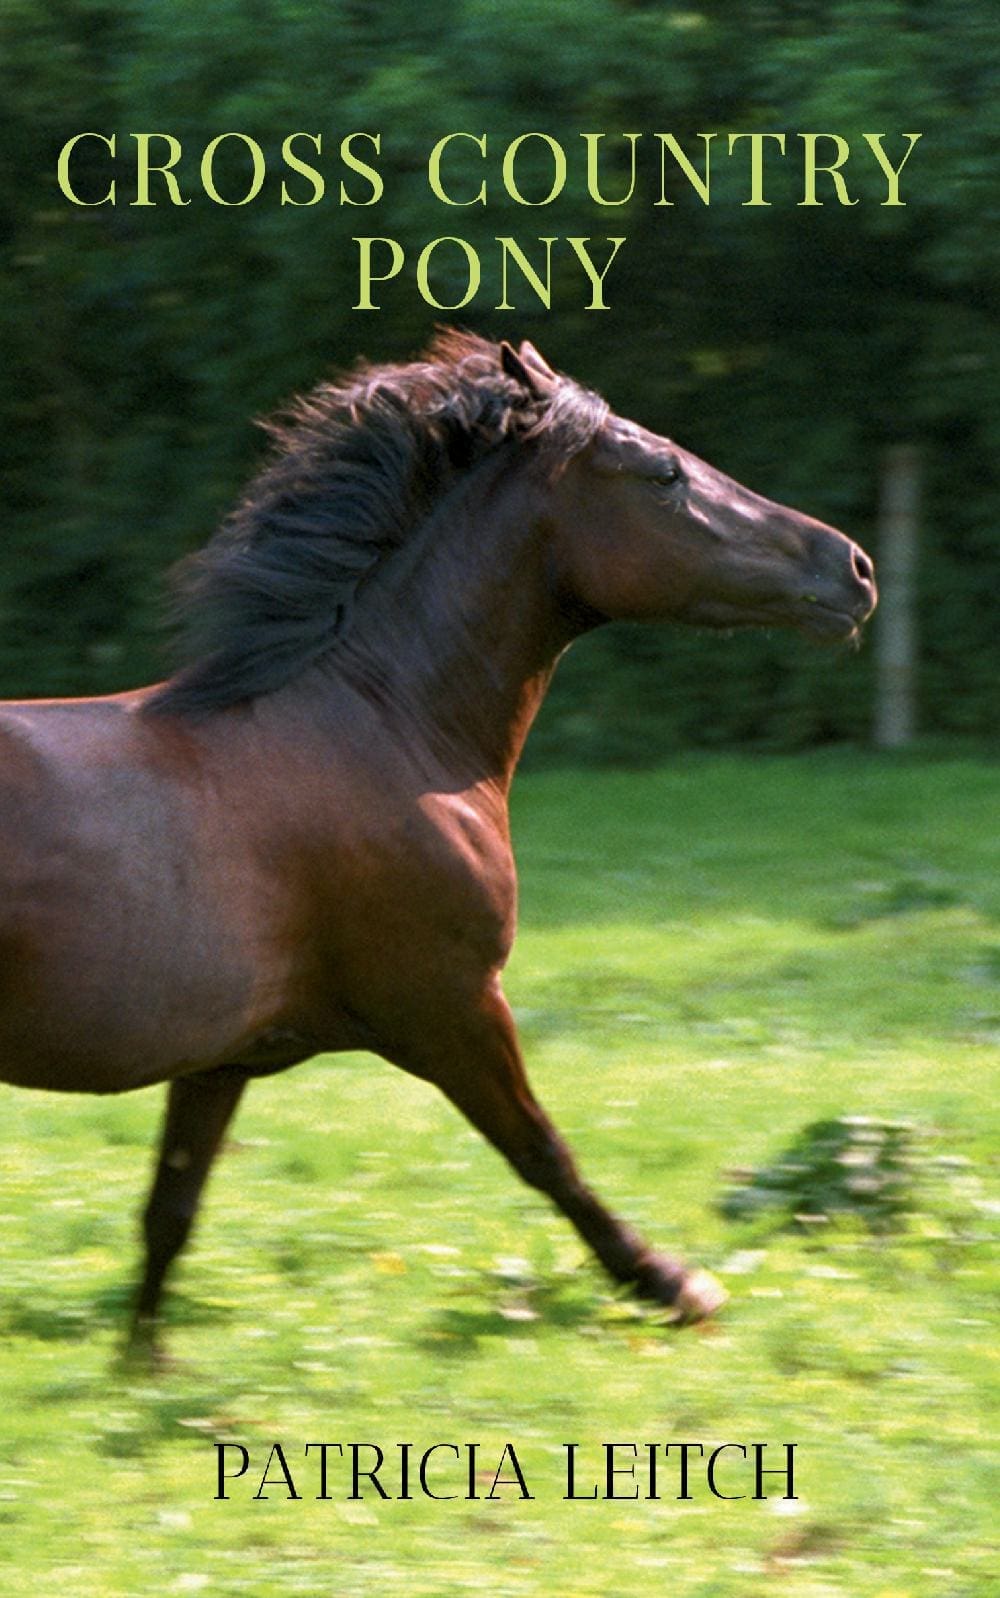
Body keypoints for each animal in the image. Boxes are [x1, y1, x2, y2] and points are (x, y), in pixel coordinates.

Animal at [0, 331, 876, 1348]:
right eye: (662, 472)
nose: (853, 568)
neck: (387, 726)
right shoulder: (449, 1007)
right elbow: (545, 1154)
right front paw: (674, 1285)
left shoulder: (222, 1057)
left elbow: (169, 1212)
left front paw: (142, 1367)